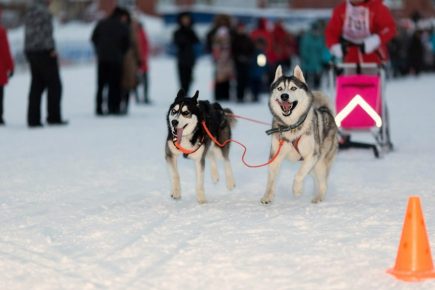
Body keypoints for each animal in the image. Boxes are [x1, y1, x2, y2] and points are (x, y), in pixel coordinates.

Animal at [260, 65, 338, 204]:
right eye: (280, 88)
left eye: (293, 88)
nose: (284, 96)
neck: (291, 126)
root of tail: (325, 110)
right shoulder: (275, 155)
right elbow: (271, 179)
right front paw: (267, 196)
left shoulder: (312, 155)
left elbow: (299, 174)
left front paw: (297, 190)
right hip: (315, 167)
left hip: (320, 162)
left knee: (323, 183)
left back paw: (318, 197)